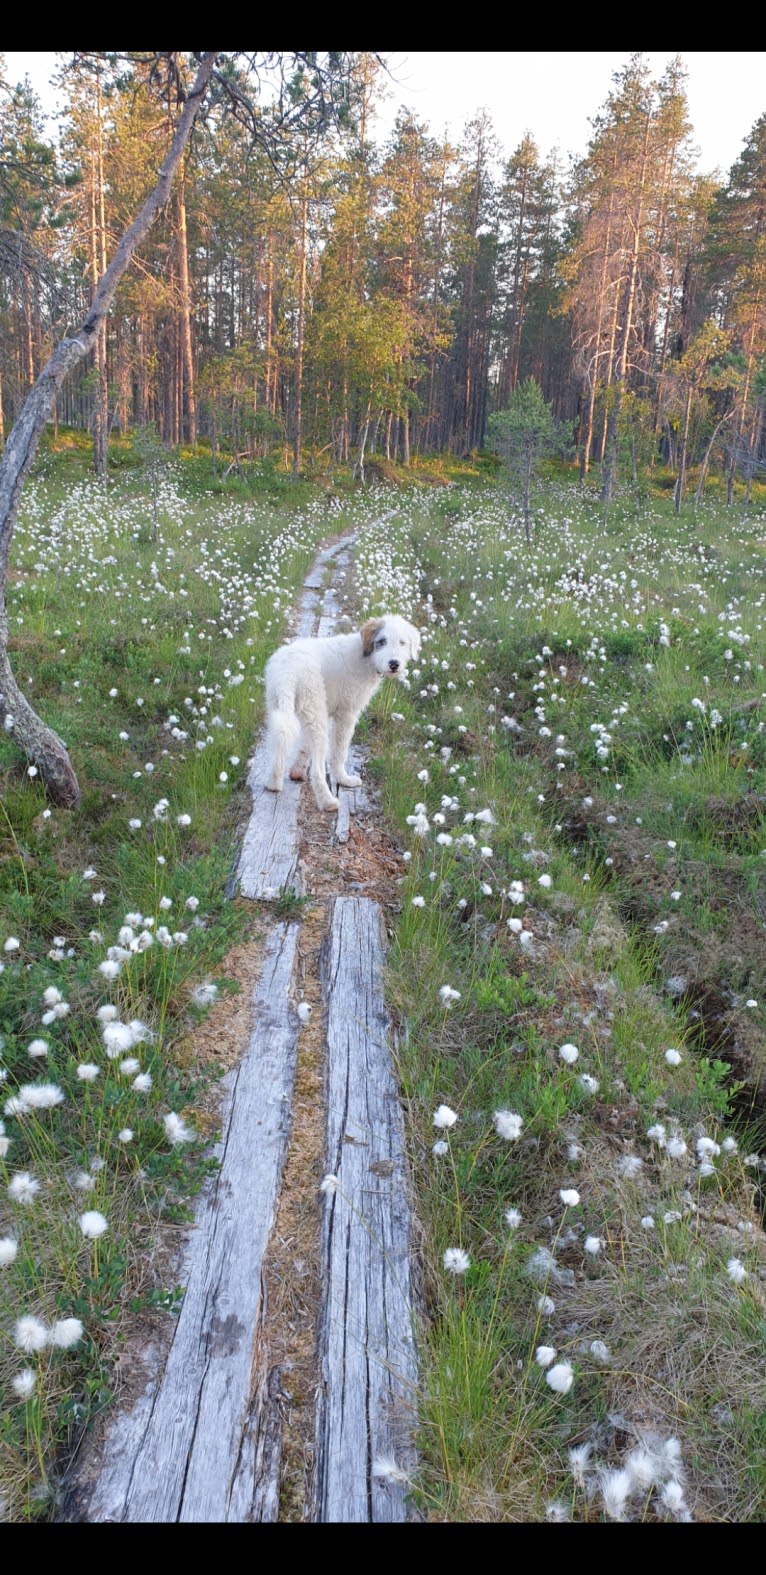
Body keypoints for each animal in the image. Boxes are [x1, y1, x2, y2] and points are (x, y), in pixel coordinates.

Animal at [261, 614, 419, 812]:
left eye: (402, 643)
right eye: (382, 641)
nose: (394, 664)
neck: (364, 657)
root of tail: (287, 674)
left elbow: (304, 746)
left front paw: (297, 771)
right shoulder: (346, 714)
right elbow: (339, 752)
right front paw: (343, 779)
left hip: (280, 707)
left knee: (279, 744)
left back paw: (273, 783)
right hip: (316, 717)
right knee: (317, 770)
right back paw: (328, 801)